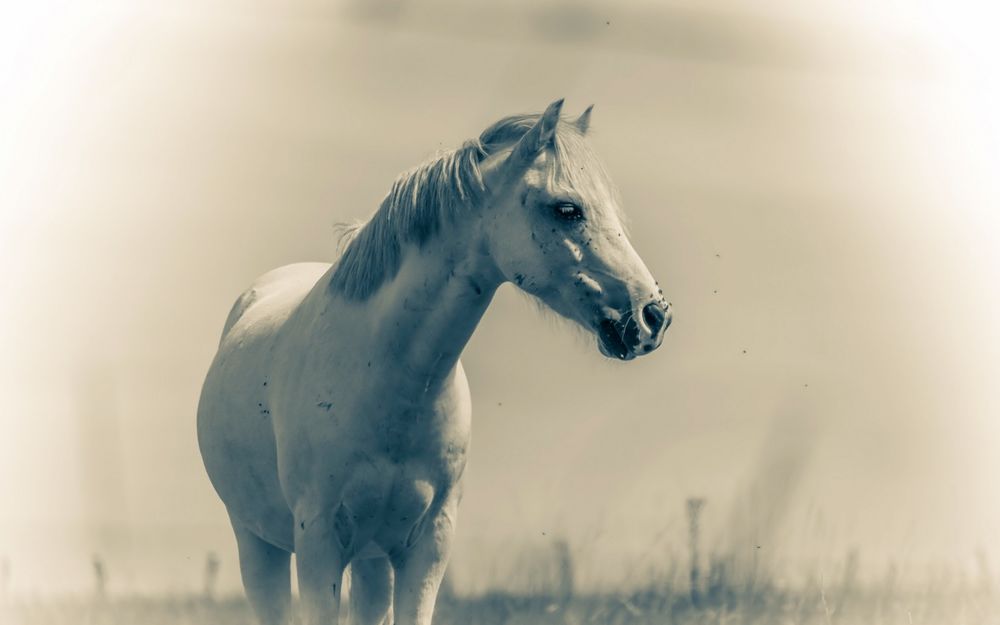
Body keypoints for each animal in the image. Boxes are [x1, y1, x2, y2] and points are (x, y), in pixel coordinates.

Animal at [197, 98, 672, 624]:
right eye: (567, 208)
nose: (652, 316)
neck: (383, 376)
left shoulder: (428, 545)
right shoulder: (319, 543)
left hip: (371, 561)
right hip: (259, 543)